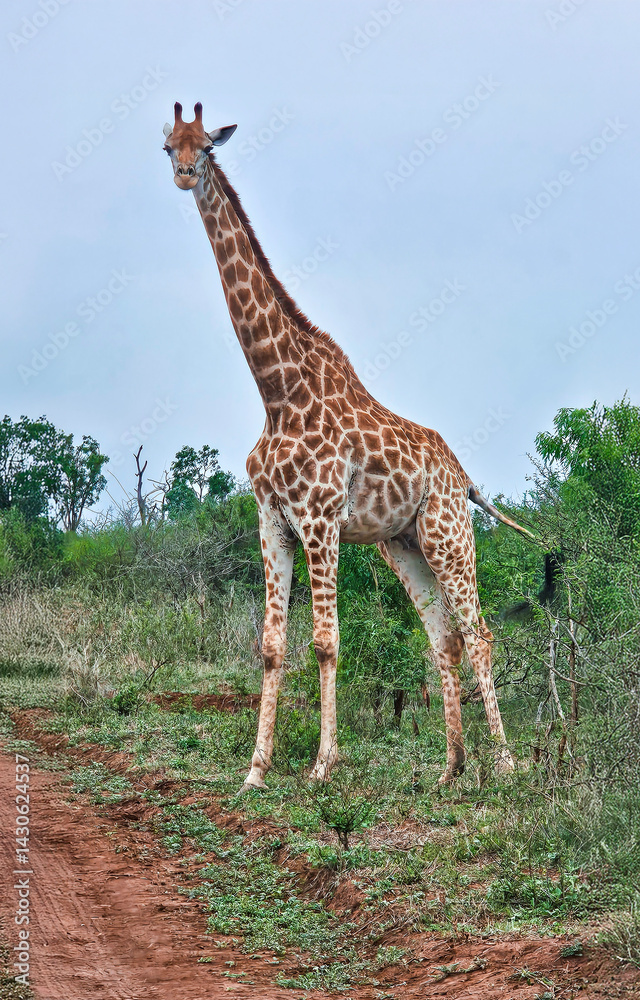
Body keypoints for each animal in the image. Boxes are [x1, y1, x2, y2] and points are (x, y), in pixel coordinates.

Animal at [162, 102, 533, 788]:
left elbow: (327, 642)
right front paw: (256, 770)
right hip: (404, 544)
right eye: (168, 145)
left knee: (479, 632)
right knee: (444, 638)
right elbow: (272, 646)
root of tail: (463, 475)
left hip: (448, 533)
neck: (277, 391)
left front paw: (321, 765)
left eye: (207, 146)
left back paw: (505, 762)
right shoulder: (272, 518)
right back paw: (451, 767)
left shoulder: (319, 517)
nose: (183, 174)